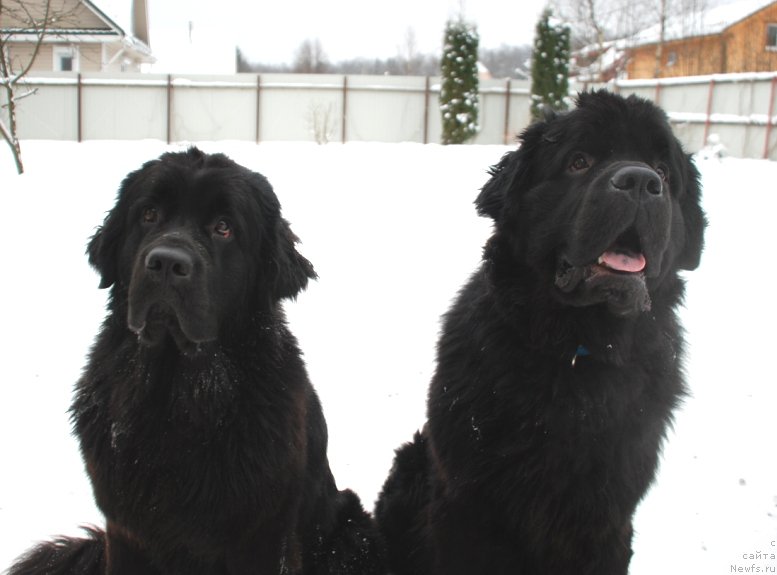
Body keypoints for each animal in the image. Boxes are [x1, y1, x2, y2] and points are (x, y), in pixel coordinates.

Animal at [372, 91, 708, 575]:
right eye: (579, 161)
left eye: (663, 171)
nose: (641, 181)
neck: (577, 350)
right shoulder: (468, 507)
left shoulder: (606, 520)